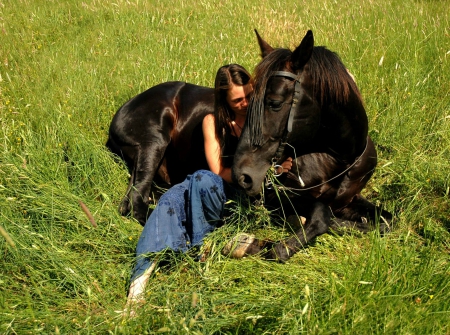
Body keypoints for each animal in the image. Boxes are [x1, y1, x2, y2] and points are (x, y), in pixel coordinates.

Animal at [107, 30, 392, 262]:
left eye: (274, 102)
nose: (242, 176)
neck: (339, 160)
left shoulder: (348, 199)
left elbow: (386, 221)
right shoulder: (279, 198)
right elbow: (318, 221)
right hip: (153, 144)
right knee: (138, 203)